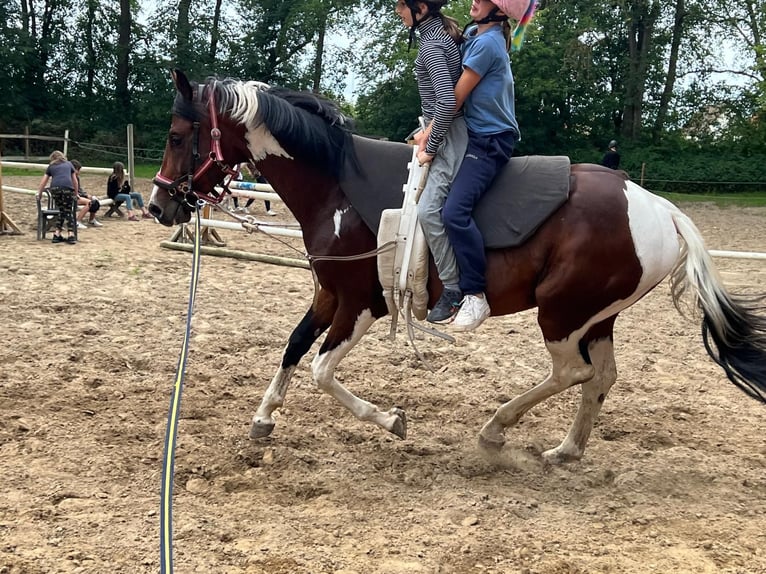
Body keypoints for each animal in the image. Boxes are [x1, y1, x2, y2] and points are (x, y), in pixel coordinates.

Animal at [150, 72, 766, 466]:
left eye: (178, 136)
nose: (159, 205)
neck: (337, 189)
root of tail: (659, 209)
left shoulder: (363, 304)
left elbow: (322, 371)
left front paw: (390, 420)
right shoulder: (329, 294)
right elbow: (294, 346)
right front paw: (263, 419)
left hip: (562, 314)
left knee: (573, 373)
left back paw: (497, 429)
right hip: (596, 317)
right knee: (600, 379)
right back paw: (567, 450)